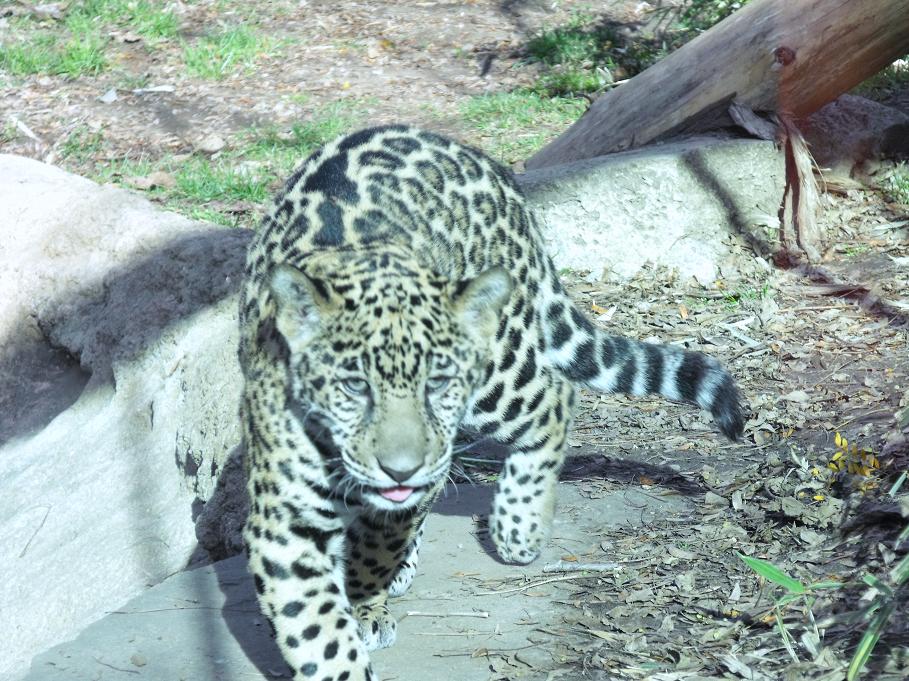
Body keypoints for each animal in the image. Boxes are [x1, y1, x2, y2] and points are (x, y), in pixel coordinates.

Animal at [238, 125, 744, 681]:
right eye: (354, 386)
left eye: (437, 382)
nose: (400, 470)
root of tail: (485, 163)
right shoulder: (286, 521)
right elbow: (318, 631)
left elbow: (375, 548)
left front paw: (364, 600)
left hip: (499, 376)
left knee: (554, 397)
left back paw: (516, 529)